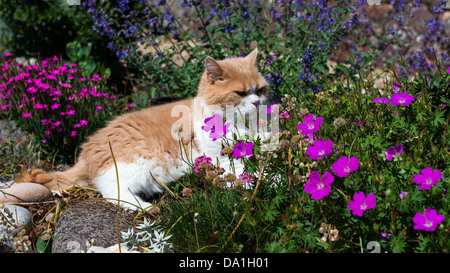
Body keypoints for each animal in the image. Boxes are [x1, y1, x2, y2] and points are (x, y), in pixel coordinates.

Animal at [16, 47, 270, 209]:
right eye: (240, 93)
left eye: (260, 90)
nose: (257, 102)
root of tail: (86, 151)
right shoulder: (221, 159)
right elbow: (248, 173)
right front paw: (265, 182)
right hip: (141, 163)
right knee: (112, 191)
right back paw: (147, 208)